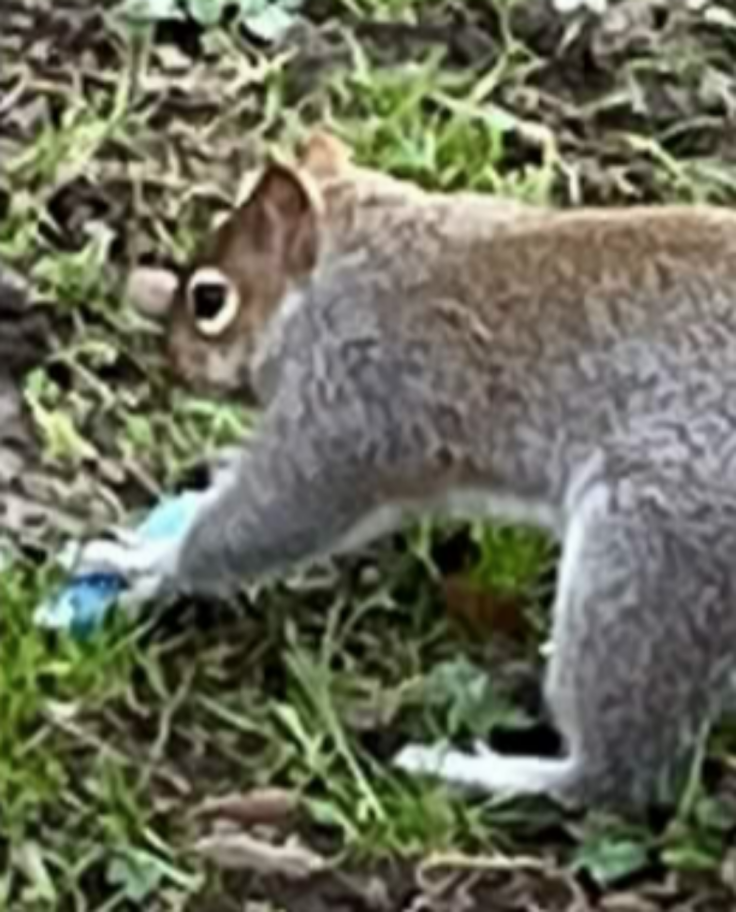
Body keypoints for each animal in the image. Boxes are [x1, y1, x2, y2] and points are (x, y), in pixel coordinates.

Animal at [77, 130, 736, 812]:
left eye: (210, 298)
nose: (172, 360)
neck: (348, 265)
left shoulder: (356, 396)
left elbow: (275, 513)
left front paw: (148, 561)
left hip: (649, 552)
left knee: (616, 776)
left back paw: (473, 769)